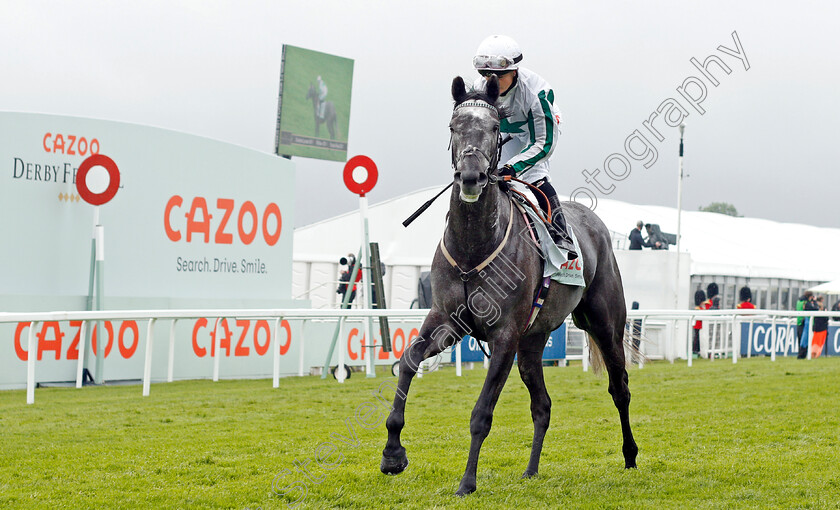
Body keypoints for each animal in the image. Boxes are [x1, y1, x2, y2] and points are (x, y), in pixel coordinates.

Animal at [380, 74, 636, 494]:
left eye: (494, 128)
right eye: (454, 127)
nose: (472, 177)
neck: (473, 245)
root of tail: (595, 224)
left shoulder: (504, 335)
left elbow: (481, 413)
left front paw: (467, 482)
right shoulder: (447, 320)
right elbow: (408, 362)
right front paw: (392, 455)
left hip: (604, 324)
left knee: (620, 388)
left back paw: (630, 455)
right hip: (533, 341)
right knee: (542, 404)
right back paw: (531, 470)